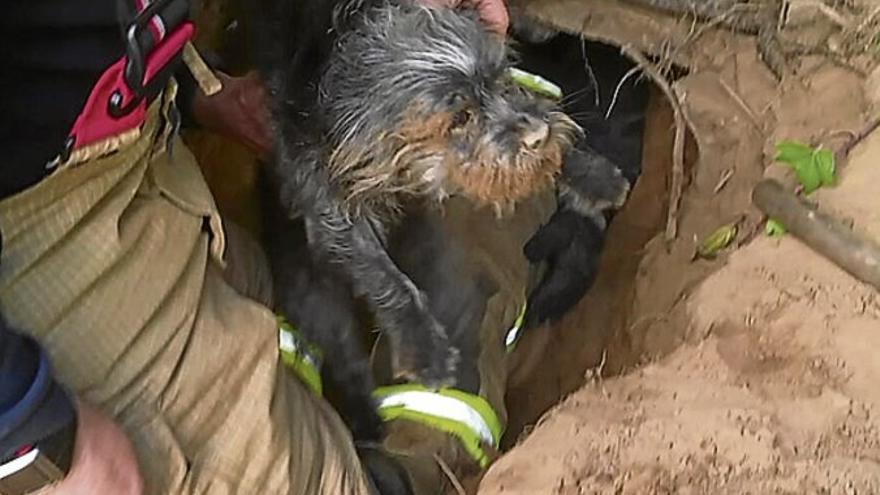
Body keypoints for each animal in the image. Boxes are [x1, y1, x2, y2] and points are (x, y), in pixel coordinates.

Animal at [251, 0, 628, 442]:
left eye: (501, 78)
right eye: (460, 116)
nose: (538, 133)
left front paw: (590, 173)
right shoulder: (324, 194)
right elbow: (381, 273)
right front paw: (422, 344)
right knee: (343, 356)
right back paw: (367, 421)